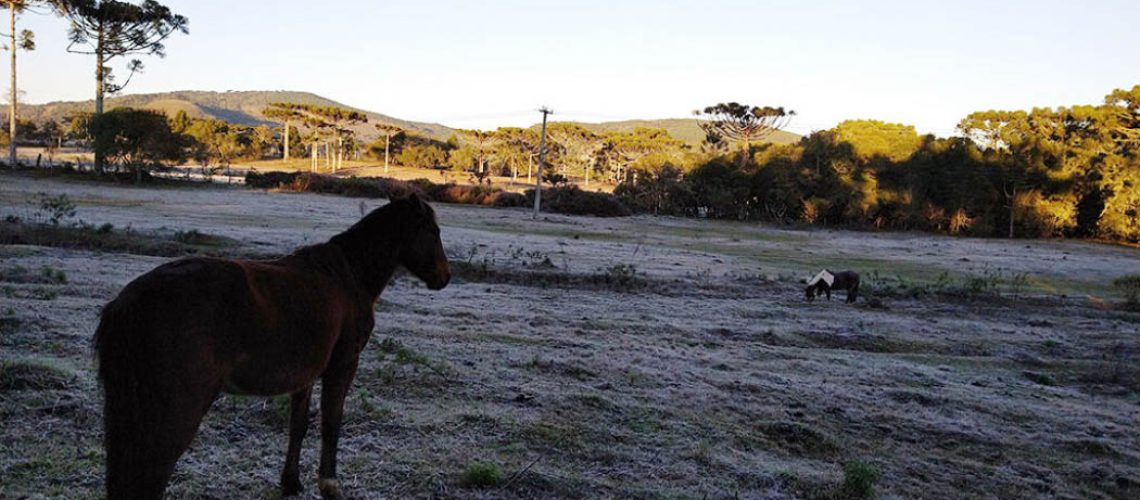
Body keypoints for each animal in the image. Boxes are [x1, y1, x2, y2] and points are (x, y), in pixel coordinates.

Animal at [93, 194, 449, 500]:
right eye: (433, 231)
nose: (444, 277)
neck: (348, 275)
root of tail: (128, 301)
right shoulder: (343, 365)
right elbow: (331, 422)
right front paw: (329, 485)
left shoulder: (306, 373)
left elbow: (299, 425)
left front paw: (291, 482)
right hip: (176, 409)